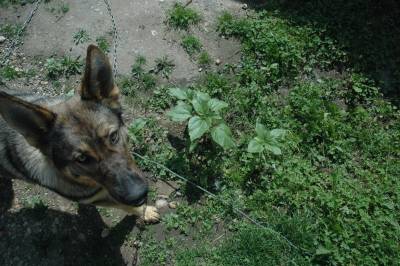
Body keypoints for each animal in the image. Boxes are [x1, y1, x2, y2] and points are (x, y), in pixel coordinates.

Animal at [0, 45, 159, 222]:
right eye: (82, 158)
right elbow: (124, 205)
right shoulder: (96, 199)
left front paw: (145, 210)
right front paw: (144, 212)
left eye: (113, 136)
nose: (138, 195)